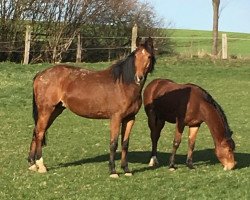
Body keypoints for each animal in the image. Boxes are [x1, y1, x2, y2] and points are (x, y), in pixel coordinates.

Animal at [28, 36, 155, 177]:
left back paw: (32, 164)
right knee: (39, 133)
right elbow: (114, 143)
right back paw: (41, 165)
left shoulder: (130, 118)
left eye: (149, 56)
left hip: (55, 111)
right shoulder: (116, 118)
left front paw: (126, 169)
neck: (123, 85)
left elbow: (125, 143)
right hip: (46, 110)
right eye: (136, 56)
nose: (139, 77)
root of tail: (40, 75)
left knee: (36, 132)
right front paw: (113, 171)